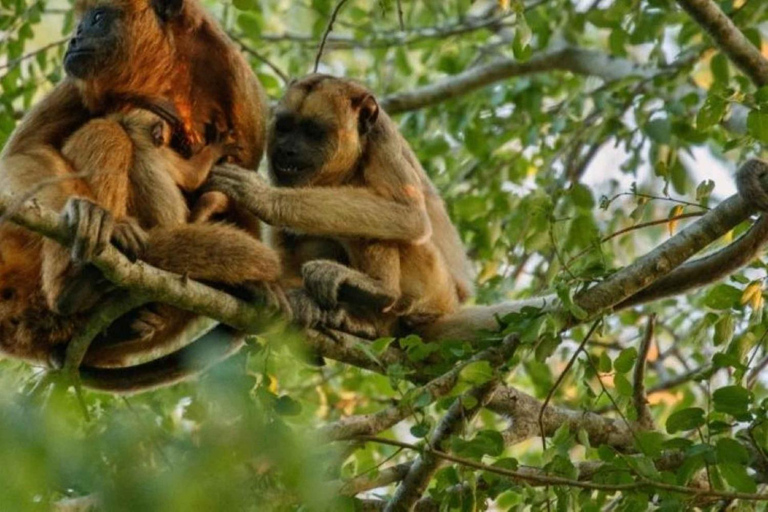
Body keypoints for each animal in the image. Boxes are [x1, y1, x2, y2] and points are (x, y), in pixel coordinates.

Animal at [210, 73, 474, 336]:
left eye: (313, 132)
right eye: (284, 127)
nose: (286, 150)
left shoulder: (382, 139)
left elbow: (410, 215)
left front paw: (262, 197)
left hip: (433, 286)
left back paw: (379, 291)